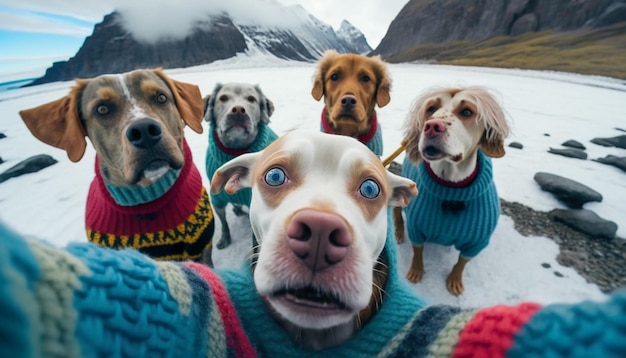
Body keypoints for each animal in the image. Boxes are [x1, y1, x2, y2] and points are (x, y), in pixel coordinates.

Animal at [392, 86, 510, 294]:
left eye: (467, 112)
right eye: (431, 108)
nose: (432, 126)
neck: (451, 185)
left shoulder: (477, 241)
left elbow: (462, 262)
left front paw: (455, 279)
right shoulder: (416, 227)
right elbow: (418, 251)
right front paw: (416, 270)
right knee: (397, 213)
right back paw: (398, 231)